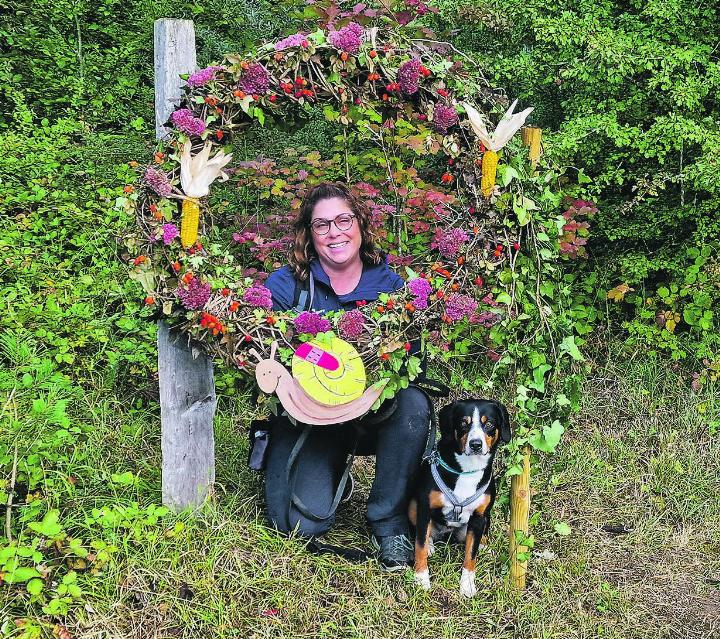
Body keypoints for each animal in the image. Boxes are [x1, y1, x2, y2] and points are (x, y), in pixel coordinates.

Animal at [408, 400, 510, 600]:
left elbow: (471, 555)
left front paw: (467, 584)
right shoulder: (424, 508)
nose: (476, 444)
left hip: (486, 518)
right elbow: (420, 545)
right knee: (424, 533)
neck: (468, 471)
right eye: (464, 423)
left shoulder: (478, 518)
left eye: (489, 424)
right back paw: (431, 544)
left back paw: (485, 545)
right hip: (412, 506)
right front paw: (421, 578)